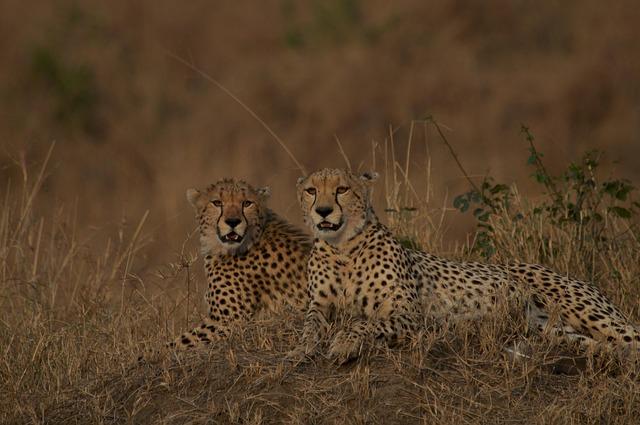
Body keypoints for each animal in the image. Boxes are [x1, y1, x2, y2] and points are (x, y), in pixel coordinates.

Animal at [292, 167, 636, 360]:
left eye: (342, 189)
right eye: (311, 190)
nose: (323, 211)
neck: (343, 249)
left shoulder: (409, 312)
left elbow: (363, 322)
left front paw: (343, 343)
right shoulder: (320, 305)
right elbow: (309, 326)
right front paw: (302, 347)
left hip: (586, 312)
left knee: (632, 335)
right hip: (550, 328)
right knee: (604, 345)